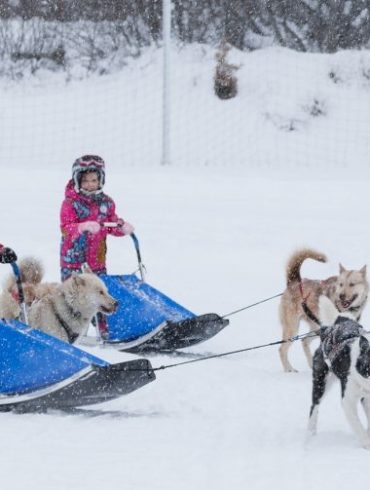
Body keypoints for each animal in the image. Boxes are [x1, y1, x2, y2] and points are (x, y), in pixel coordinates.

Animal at [308, 296, 370, 450]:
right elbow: (357, 426)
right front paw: (366, 443)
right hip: (321, 382)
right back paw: (310, 435)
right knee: (314, 407)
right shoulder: (348, 401)